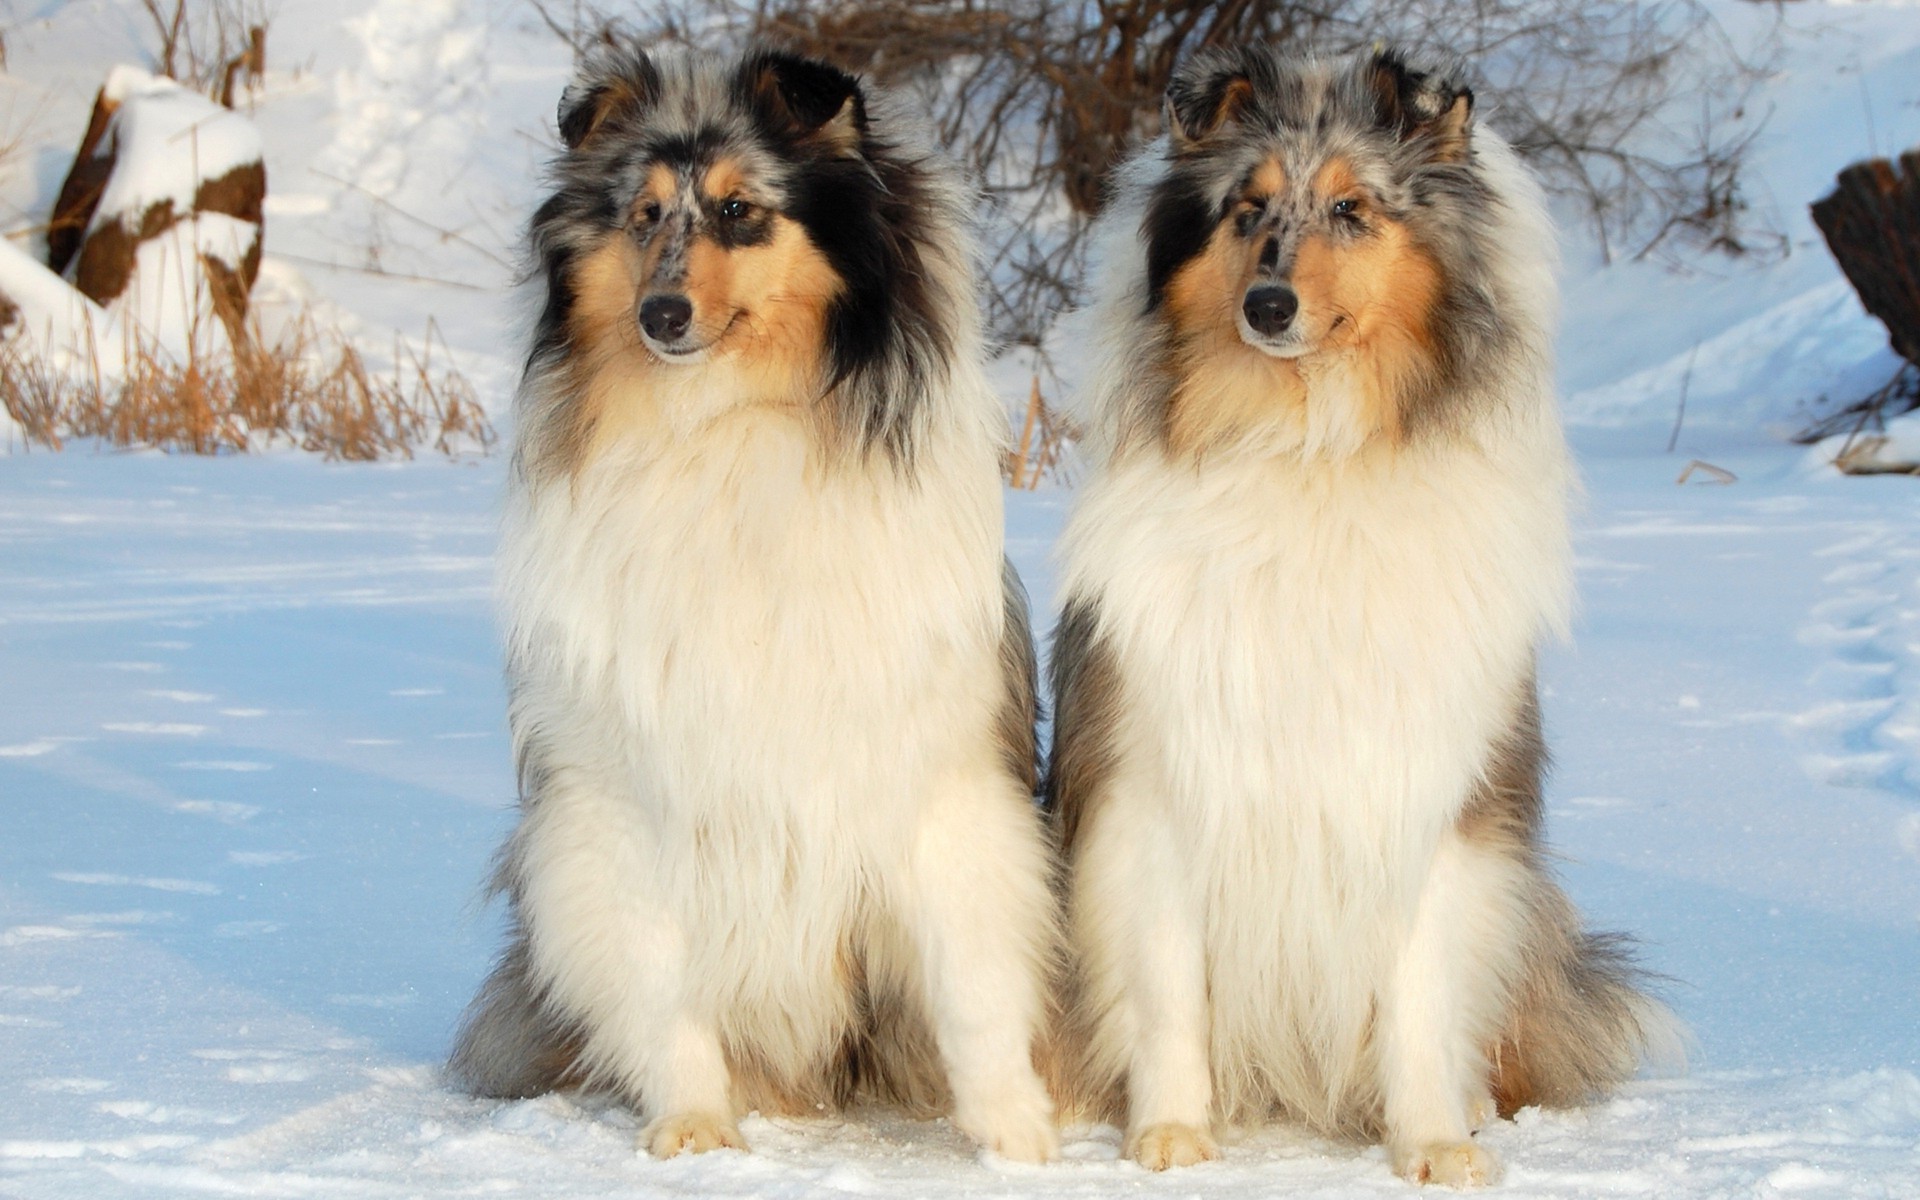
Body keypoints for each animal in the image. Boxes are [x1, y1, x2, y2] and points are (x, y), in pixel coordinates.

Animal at [445, 46, 1067, 1159]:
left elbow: (975, 981)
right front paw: (695, 1131)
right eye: (645, 214)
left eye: (741, 211)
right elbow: (659, 986)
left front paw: (1017, 1141)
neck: (723, 427)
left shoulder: (942, 784)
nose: (660, 316)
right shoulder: (622, 803)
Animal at [1044, 44, 1674, 1182]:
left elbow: (1422, 989)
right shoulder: (1152, 783)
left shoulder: (1429, 789)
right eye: (1247, 207)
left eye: (1351, 208)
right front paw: (1171, 1135)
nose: (1268, 306)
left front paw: (1433, 1143)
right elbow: (1166, 988)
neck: (1309, 453)